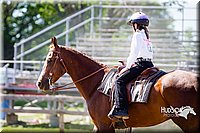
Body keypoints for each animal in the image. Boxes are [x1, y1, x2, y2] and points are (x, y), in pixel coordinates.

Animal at [36, 37, 199, 132]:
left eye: (49, 60)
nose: (40, 83)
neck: (97, 83)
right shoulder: (99, 126)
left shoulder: (104, 125)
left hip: (188, 123)